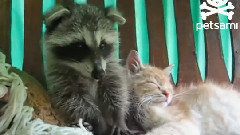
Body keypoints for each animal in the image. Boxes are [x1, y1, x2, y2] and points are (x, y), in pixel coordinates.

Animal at [43, 3, 129, 135]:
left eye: (102, 45)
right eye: (80, 46)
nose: (99, 73)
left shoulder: (110, 68)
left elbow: (117, 90)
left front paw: (118, 115)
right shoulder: (59, 78)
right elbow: (74, 101)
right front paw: (97, 119)